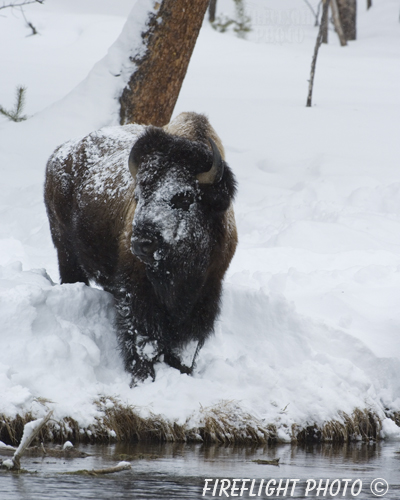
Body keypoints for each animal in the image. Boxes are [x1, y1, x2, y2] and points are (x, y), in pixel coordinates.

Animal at [43, 111, 238, 382]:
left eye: (184, 198)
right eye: (138, 196)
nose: (142, 244)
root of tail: (59, 153)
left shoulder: (206, 292)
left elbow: (186, 346)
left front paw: (182, 371)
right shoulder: (137, 293)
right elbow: (143, 340)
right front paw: (143, 377)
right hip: (66, 252)